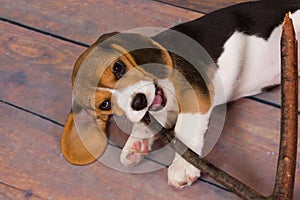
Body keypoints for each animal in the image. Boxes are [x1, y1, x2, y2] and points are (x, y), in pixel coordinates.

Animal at [61, 0, 300, 188]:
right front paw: (136, 144)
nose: (138, 101)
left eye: (118, 67)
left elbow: (185, 127)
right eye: (105, 105)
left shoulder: (193, 93)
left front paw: (182, 165)